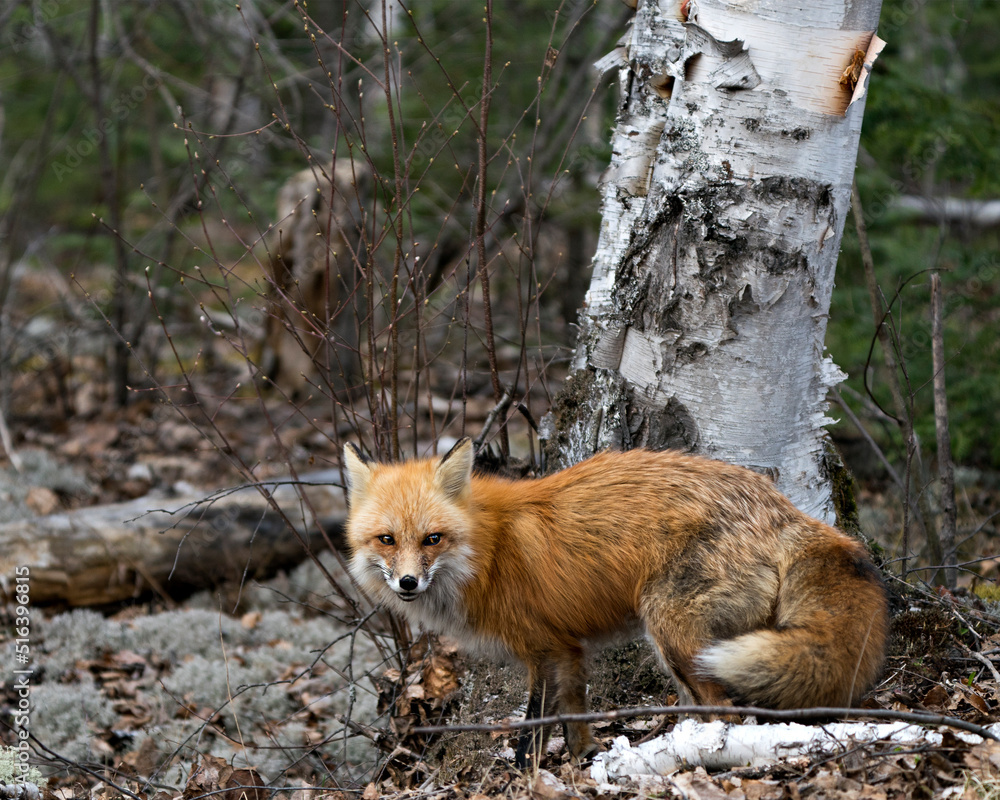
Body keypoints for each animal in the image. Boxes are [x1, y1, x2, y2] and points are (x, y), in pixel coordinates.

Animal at [342, 438, 889, 766]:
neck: (487, 551)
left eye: (432, 539)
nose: (408, 583)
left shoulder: (542, 649)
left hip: (672, 631)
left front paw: (525, 776)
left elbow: (533, 728)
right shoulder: (568, 649)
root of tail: (783, 508)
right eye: (387, 540)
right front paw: (585, 759)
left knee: (728, 714)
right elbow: (574, 714)